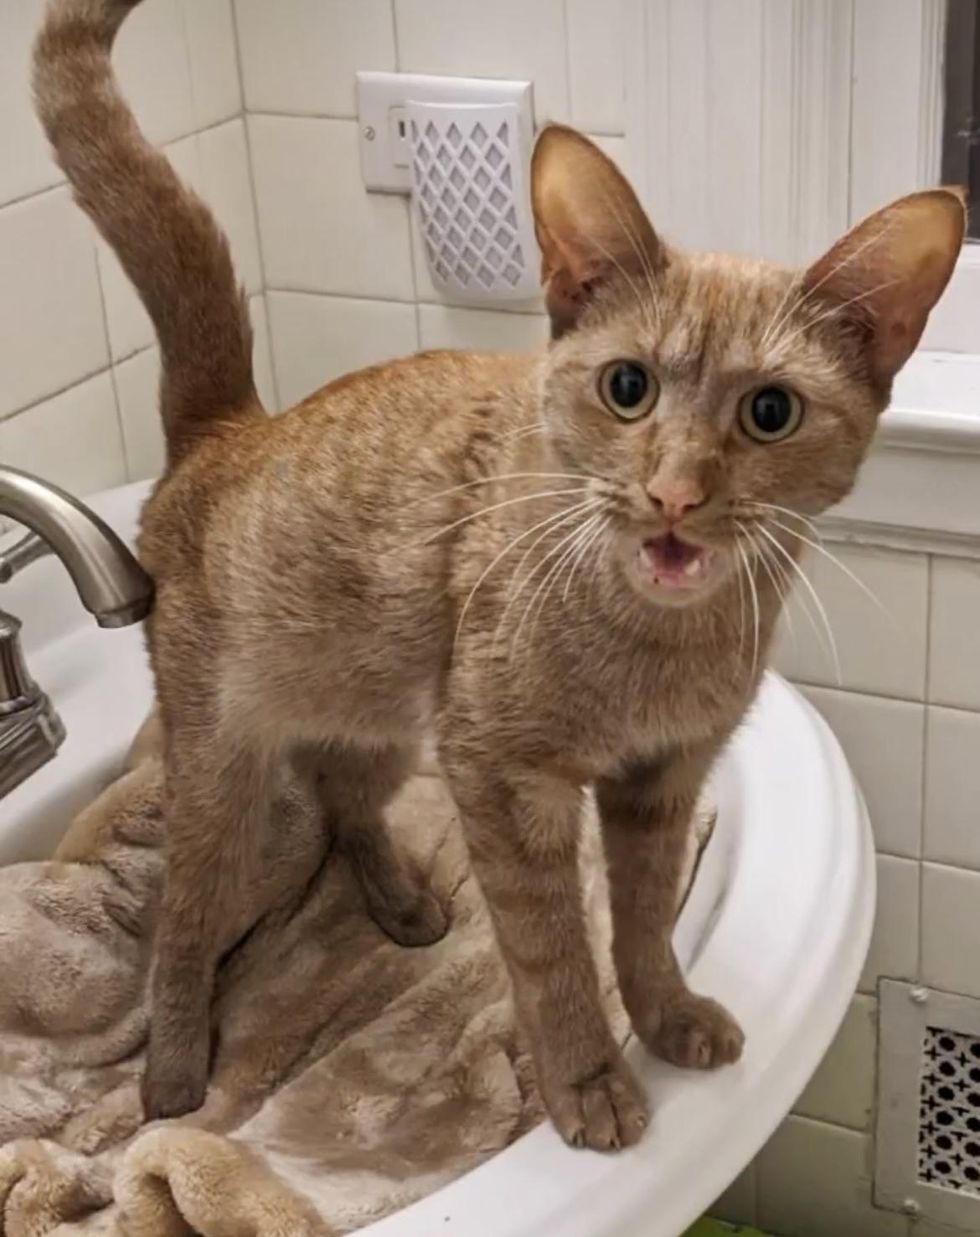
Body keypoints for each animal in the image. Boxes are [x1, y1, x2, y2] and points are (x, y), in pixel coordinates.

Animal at [34, 0, 960, 1147]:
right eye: (627, 387)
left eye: (771, 410)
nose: (673, 491)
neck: (656, 645)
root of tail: (227, 428)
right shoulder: (504, 776)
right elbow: (552, 947)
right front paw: (587, 1079)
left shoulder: (661, 780)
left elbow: (643, 923)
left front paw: (664, 1015)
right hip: (222, 777)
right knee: (184, 917)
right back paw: (170, 1071)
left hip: (383, 723)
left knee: (339, 796)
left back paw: (395, 898)